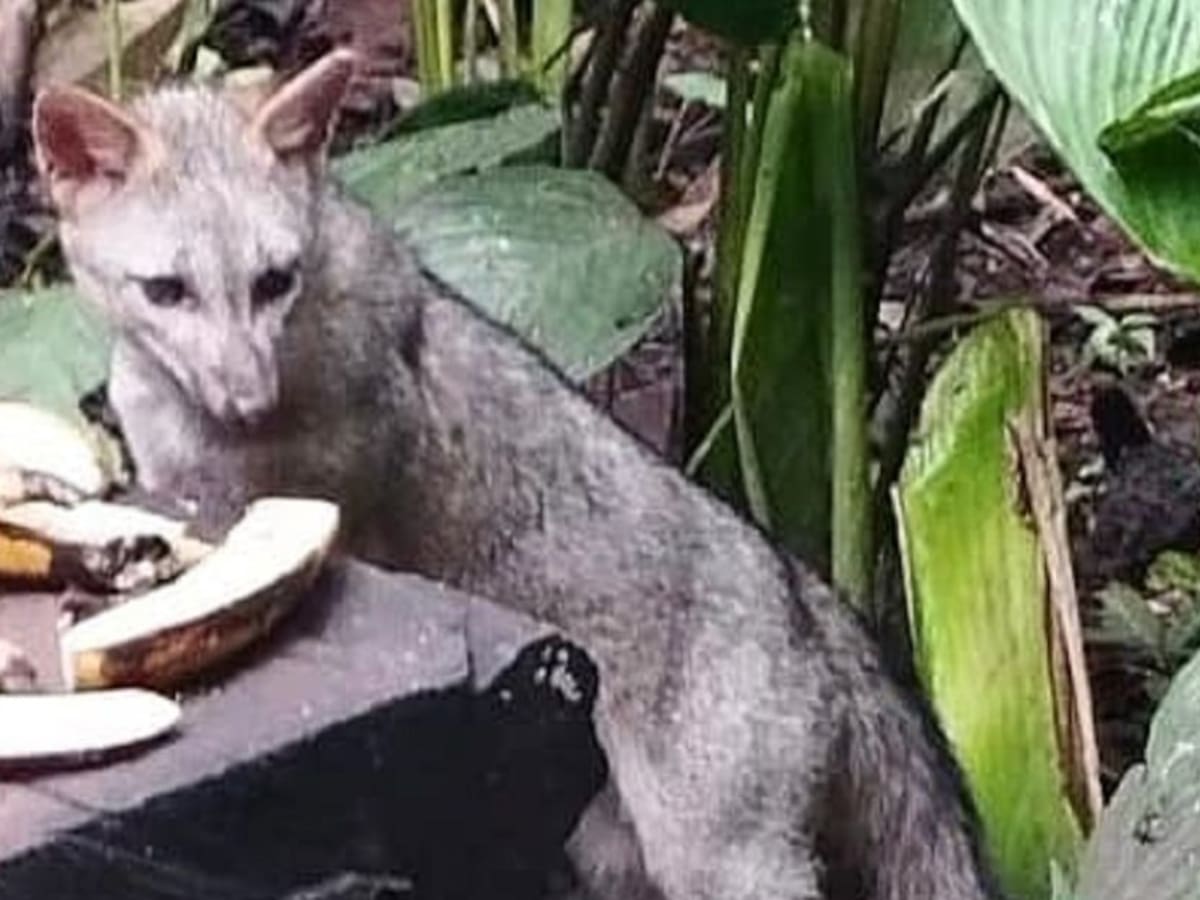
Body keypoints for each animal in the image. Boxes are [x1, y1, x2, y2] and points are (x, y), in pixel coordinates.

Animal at [31, 50, 1004, 900]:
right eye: (166, 290)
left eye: (274, 281)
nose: (247, 398)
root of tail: (807, 595)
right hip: (609, 852)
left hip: (722, 862)